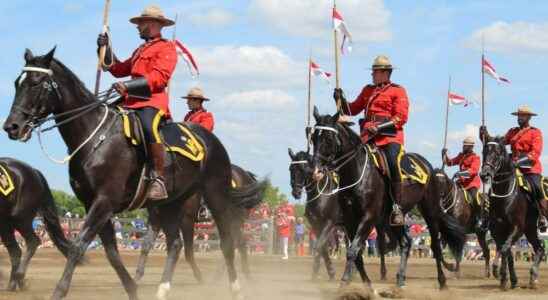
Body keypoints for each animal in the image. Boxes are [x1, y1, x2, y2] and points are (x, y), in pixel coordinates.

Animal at [0, 157, 76, 290]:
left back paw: (19, 277)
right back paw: (13, 284)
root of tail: (34, 171)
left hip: (20, 219)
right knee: (15, 250)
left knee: (32, 242)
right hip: (6, 223)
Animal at [480, 137, 544, 290]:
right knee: (539, 249)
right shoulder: (497, 229)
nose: (484, 175)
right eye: (484, 152)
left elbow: (504, 249)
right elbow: (506, 250)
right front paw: (510, 279)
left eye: (497, 153)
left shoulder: (517, 228)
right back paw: (533, 277)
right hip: (530, 229)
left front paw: (502, 275)